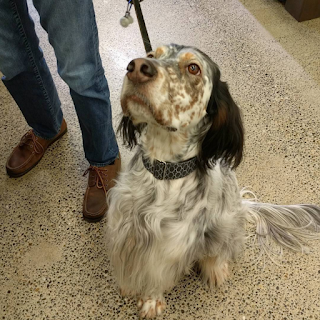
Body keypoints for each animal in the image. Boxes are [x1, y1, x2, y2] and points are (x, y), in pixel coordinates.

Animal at [107, 43, 320, 318]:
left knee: (220, 252)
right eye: (152, 55)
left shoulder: (167, 246)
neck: (162, 169)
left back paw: (215, 269)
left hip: (225, 226)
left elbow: (156, 278)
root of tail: (242, 205)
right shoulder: (124, 226)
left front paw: (151, 300)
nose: (136, 68)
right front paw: (128, 286)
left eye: (193, 68)